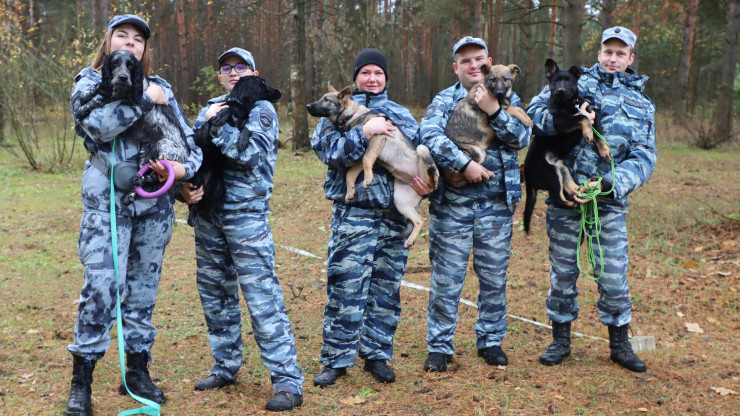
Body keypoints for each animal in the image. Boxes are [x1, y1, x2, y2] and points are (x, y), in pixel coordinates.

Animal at [189, 77, 282, 228]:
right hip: (196, 182)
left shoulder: (244, 125)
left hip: (219, 188)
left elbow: (247, 130)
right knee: (193, 202)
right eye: (263, 83)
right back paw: (192, 216)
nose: (280, 93)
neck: (239, 110)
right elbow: (225, 109)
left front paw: (242, 141)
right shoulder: (207, 132)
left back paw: (216, 219)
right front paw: (221, 115)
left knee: (210, 206)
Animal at [306, 83, 440, 249]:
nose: (307, 106)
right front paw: (350, 192)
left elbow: (367, 160)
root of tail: (416, 180)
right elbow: (350, 173)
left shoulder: (377, 138)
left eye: (326, 100)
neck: (352, 115)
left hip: (422, 150)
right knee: (419, 220)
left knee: (433, 182)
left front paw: (368, 179)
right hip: (401, 203)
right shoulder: (358, 152)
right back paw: (410, 240)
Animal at [520, 59, 612, 234]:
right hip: (551, 175)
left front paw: (605, 151)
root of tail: (527, 177)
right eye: (555, 82)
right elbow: (582, 119)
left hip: (562, 169)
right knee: (558, 199)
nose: (560, 91)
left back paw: (588, 193)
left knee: (573, 189)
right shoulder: (559, 121)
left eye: (568, 81)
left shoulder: (593, 114)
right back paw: (575, 203)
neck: (570, 104)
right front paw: (587, 135)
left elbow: (599, 135)